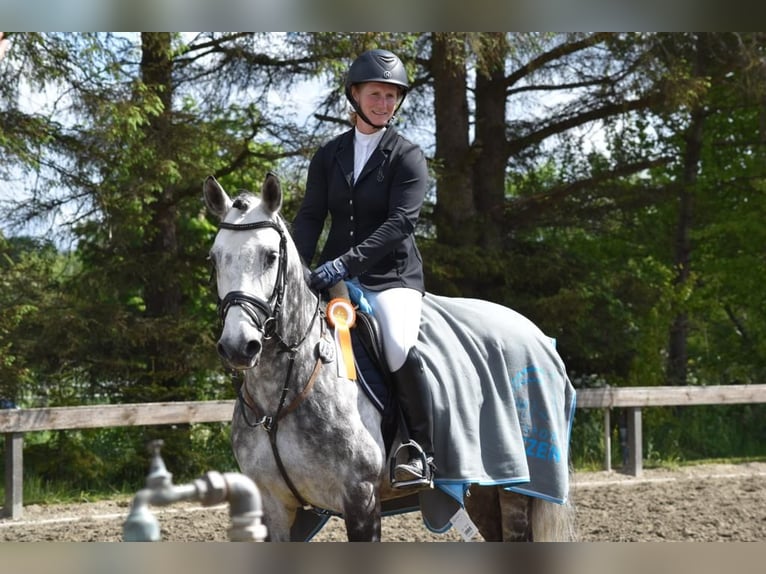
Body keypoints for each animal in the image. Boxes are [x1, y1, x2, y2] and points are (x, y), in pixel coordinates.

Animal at [204, 173, 576, 544]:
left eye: (270, 256)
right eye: (215, 258)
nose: (239, 346)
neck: (279, 399)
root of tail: (538, 335)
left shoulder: (361, 497)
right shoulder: (273, 507)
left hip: (517, 489)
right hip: (484, 492)